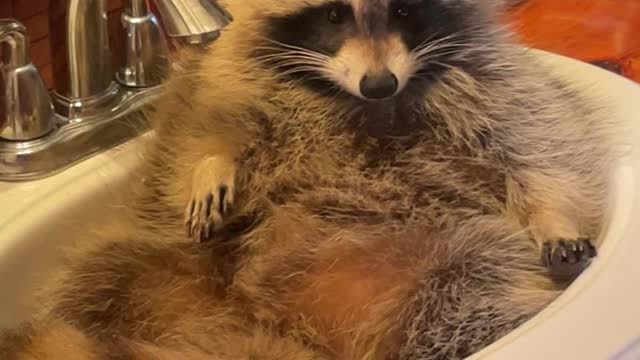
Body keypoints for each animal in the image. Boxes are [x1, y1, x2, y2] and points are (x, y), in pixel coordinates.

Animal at [2, 0, 616, 358]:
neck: (353, 101)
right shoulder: (219, 85)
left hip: (448, 265)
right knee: (99, 280)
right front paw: (211, 165)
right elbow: (198, 137)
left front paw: (553, 214)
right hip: (166, 266)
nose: (379, 83)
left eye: (403, 10)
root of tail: (275, 326)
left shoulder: (496, 86)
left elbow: (542, 150)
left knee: (459, 308)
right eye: (335, 15)